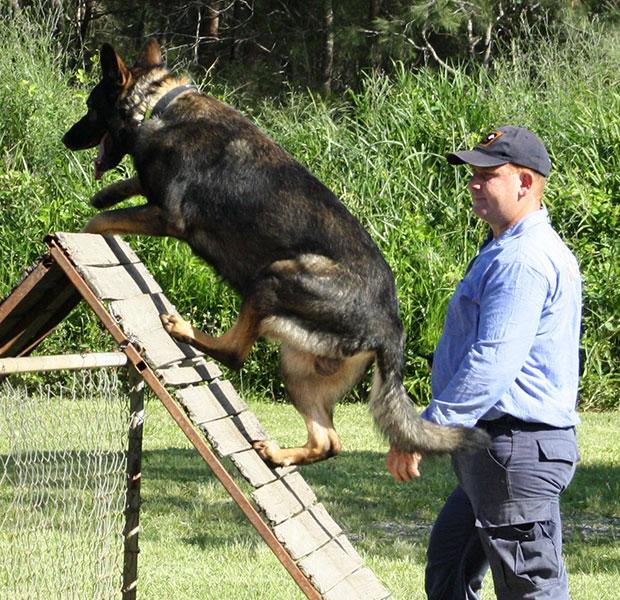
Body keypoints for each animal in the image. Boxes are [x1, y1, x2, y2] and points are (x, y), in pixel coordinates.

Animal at [63, 39, 490, 466]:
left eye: (90, 106)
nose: (67, 140)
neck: (156, 106)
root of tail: (391, 328)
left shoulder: (169, 216)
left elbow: (99, 222)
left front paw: (80, 235)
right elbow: (128, 186)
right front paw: (106, 193)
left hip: (275, 275)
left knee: (235, 353)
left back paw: (184, 329)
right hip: (297, 365)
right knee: (327, 442)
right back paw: (278, 455)